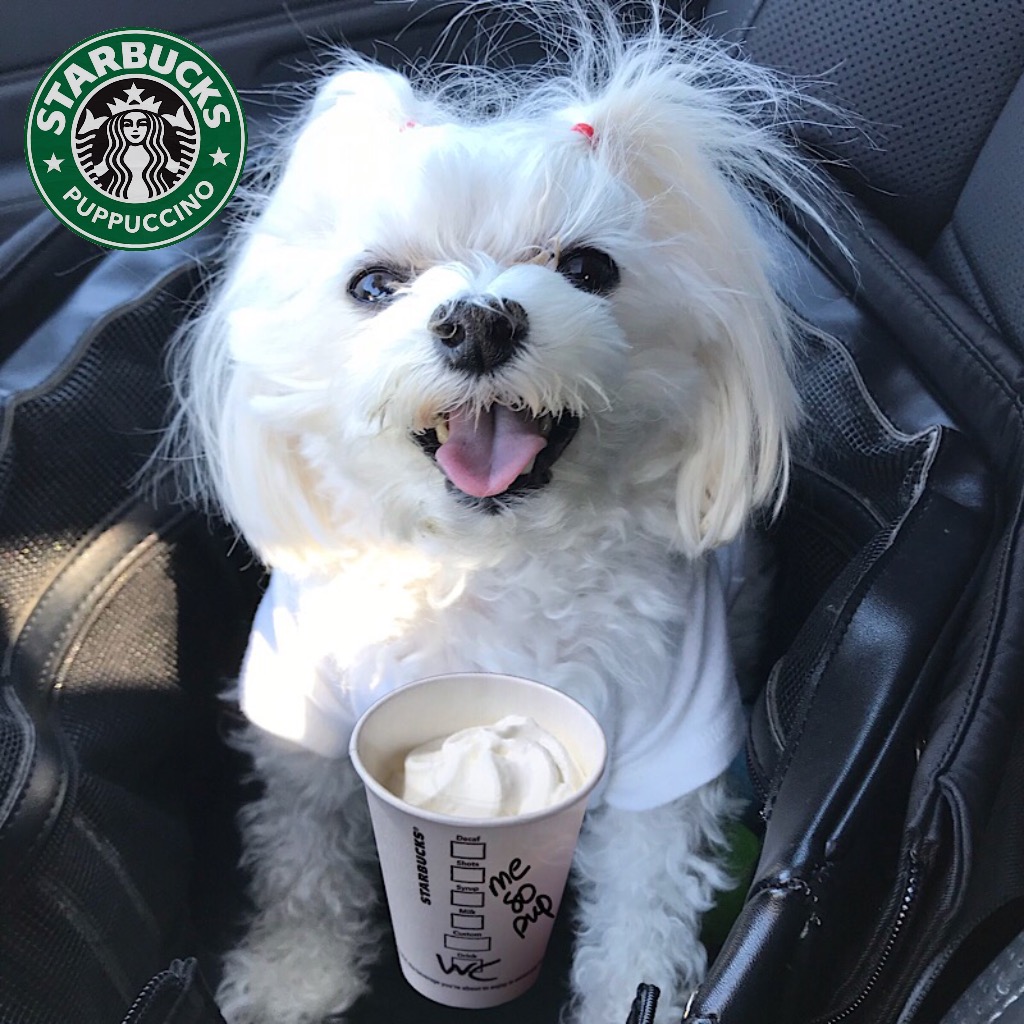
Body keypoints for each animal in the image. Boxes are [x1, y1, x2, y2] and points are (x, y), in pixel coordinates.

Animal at [163, 4, 827, 1019]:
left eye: (589, 268)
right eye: (373, 284)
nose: (478, 321)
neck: (484, 567)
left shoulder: (669, 736)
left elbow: (645, 895)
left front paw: (626, 994)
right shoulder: (301, 716)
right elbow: (303, 846)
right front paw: (290, 974)